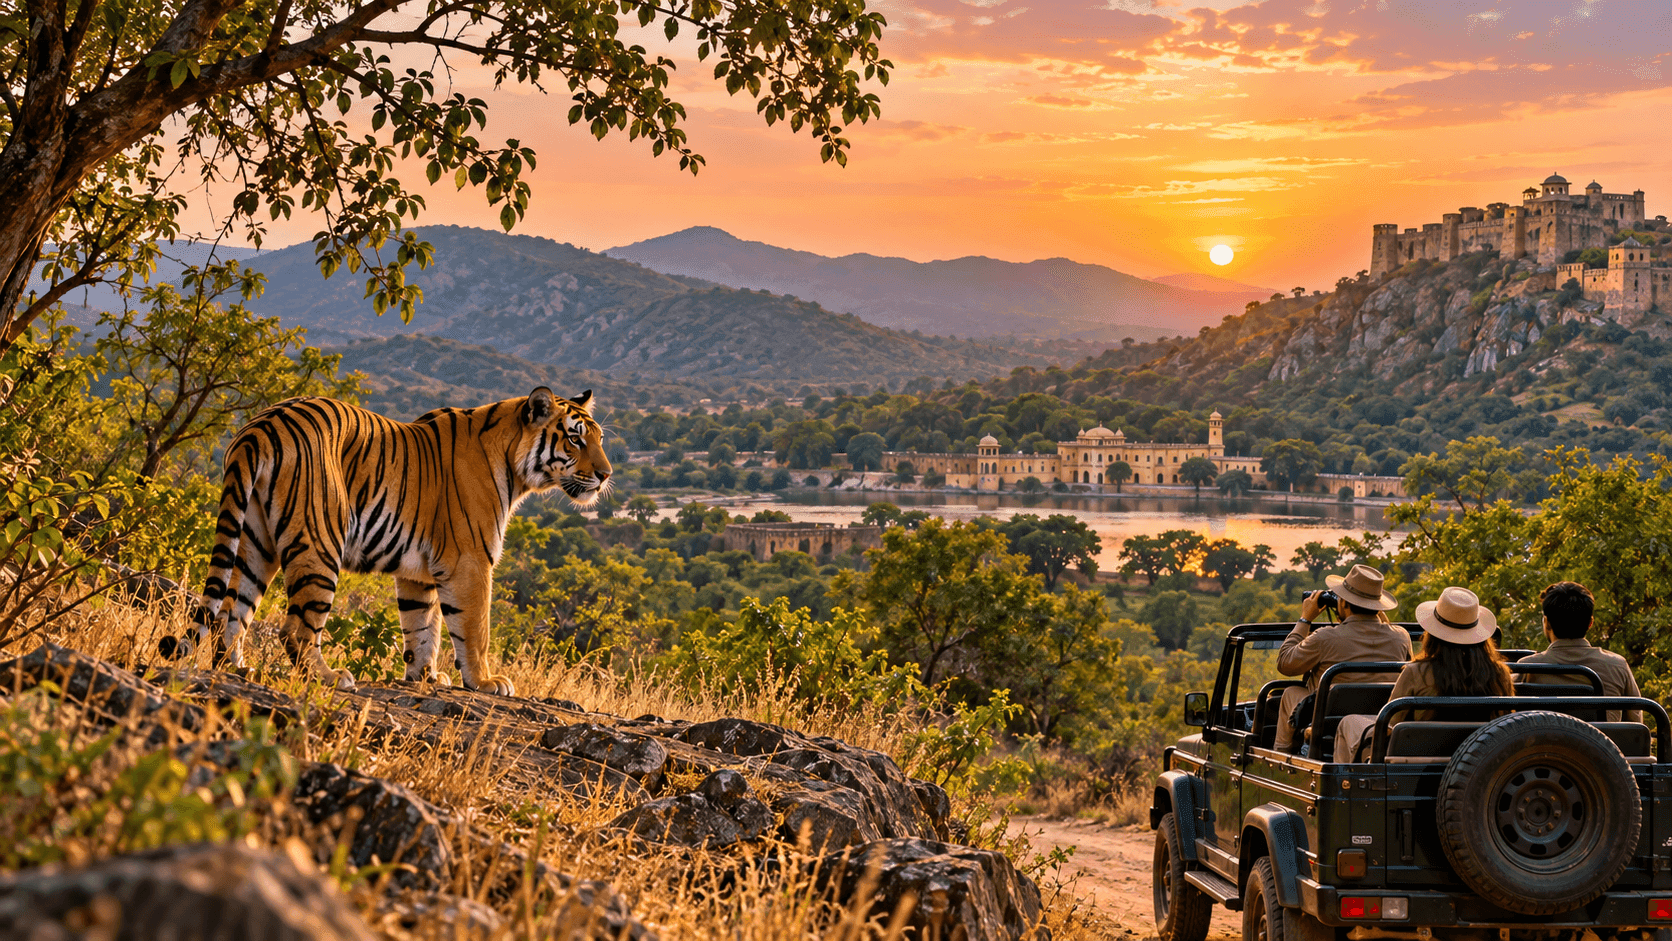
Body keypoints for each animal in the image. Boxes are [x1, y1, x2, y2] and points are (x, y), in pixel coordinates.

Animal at [191, 387, 611, 694]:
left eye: (600, 438)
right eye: (574, 439)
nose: (606, 475)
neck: (514, 465)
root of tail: (261, 425)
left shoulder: (419, 573)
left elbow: (422, 627)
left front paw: (425, 678)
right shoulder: (471, 561)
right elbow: (474, 628)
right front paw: (485, 681)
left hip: (256, 542)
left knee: (232, 611)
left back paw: (236, 669)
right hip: (320, 544)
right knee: (294, 631)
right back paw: (331, 677)